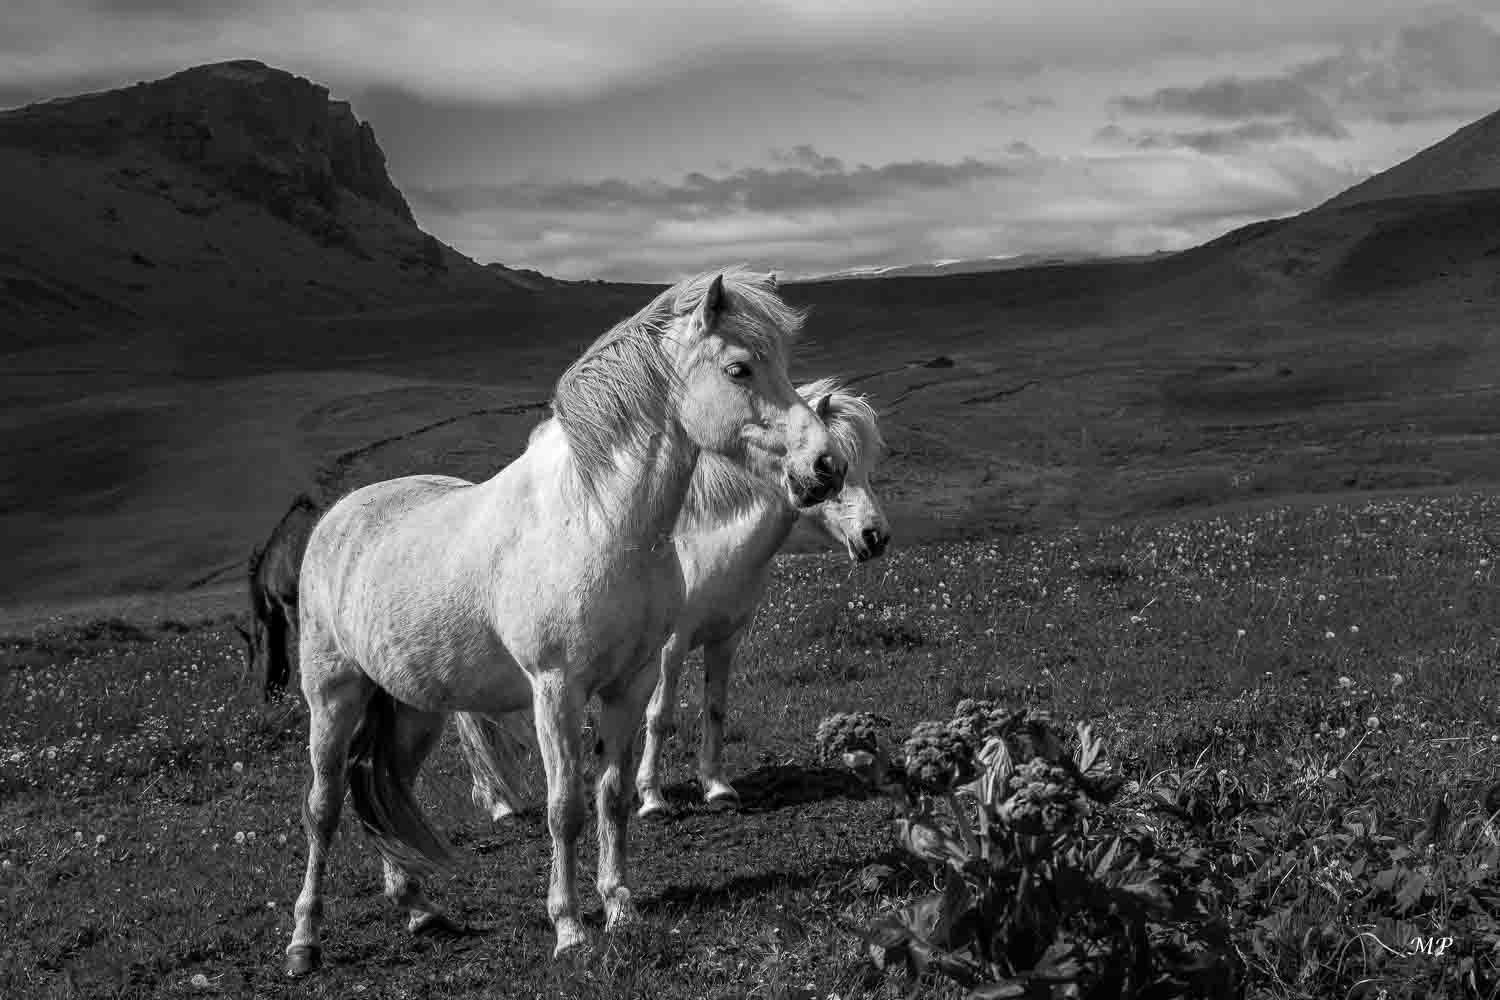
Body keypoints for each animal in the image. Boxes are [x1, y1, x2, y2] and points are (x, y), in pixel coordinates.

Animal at [283, 267, 845, 974]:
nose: (826, 466)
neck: (598, 521)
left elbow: (613, 797)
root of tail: (337, 518)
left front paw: (622, 908)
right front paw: (570, 928)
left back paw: (418, 909)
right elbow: (564, 808)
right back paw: (304, 941)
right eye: (740, 368)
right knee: (325, 805)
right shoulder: (555, 689)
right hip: (333, 695)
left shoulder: (630, 684)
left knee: (383, 789)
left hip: (412, 710)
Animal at [457, 377, 889, 822]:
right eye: (833, 476)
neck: (708, 540)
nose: (876, 537)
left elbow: (715, 708)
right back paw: (500, 804)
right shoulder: (671, 646)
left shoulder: (726, 639)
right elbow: (660, 714)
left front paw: (717, 787)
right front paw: (650, 797)